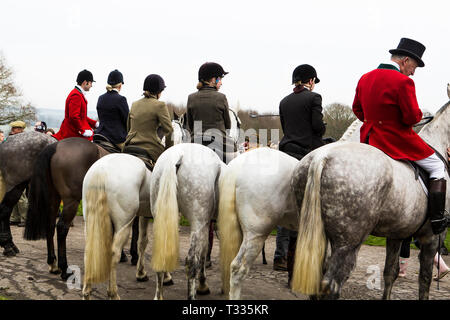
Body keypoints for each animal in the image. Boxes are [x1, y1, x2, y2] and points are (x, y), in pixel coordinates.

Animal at [151, 143, 227, 300]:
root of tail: (177, 155)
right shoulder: (205, 224)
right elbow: (204, 251)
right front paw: (203, 285)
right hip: (197, 222)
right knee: (191, 260)